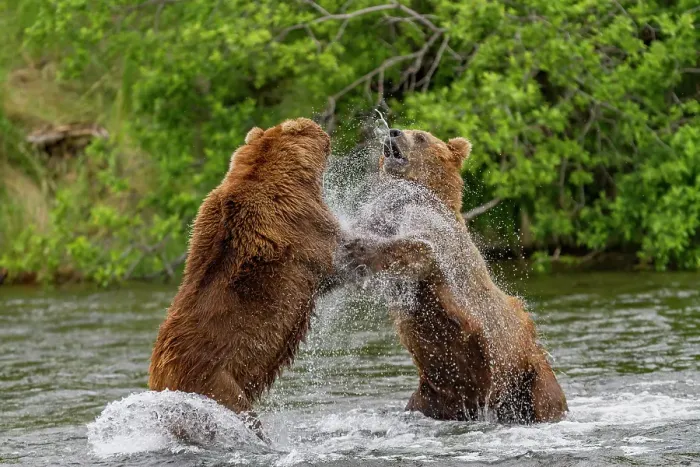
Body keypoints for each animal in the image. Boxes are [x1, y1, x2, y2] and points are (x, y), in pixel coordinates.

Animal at [340, 128, 567, 423]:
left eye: (421, 136)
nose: (394, 131)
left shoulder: (440, 240)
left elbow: (419, 250)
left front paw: (358, 249)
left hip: (530, 375)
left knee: (546, 400)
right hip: (436, 393)